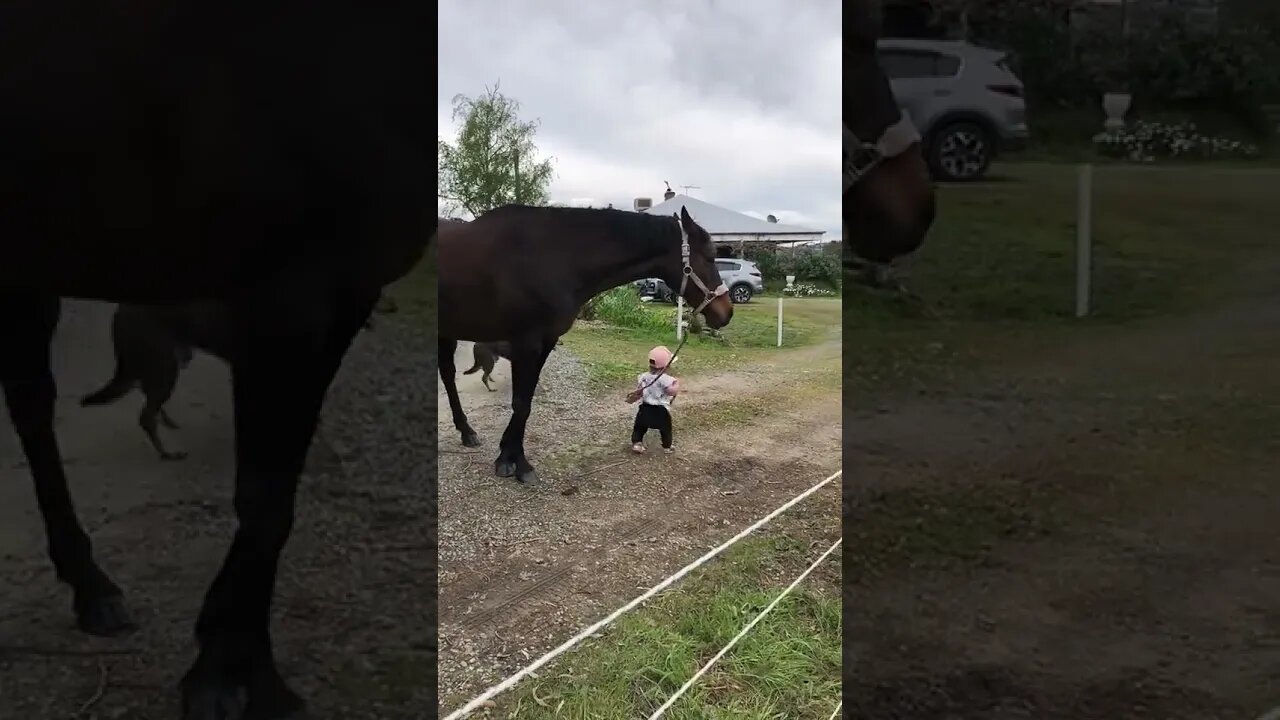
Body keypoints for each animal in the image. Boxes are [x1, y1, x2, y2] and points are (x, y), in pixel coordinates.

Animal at [1, 2, 430, 712]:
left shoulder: (343, 296)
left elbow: (277, 497)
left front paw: (241, 664)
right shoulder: (283, 295)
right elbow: (261, 496)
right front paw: (230, 673)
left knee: (33, 407)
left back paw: (91, 586)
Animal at [437, 203, 732, 481]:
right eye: (710, 256)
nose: (726, 313)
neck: (555, 256)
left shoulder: (545, 342)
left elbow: (526, 402)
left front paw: (507, 454)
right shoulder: (525, 343)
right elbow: (520, 403)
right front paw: (517, 464)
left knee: (448, 376)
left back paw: (466, 432)